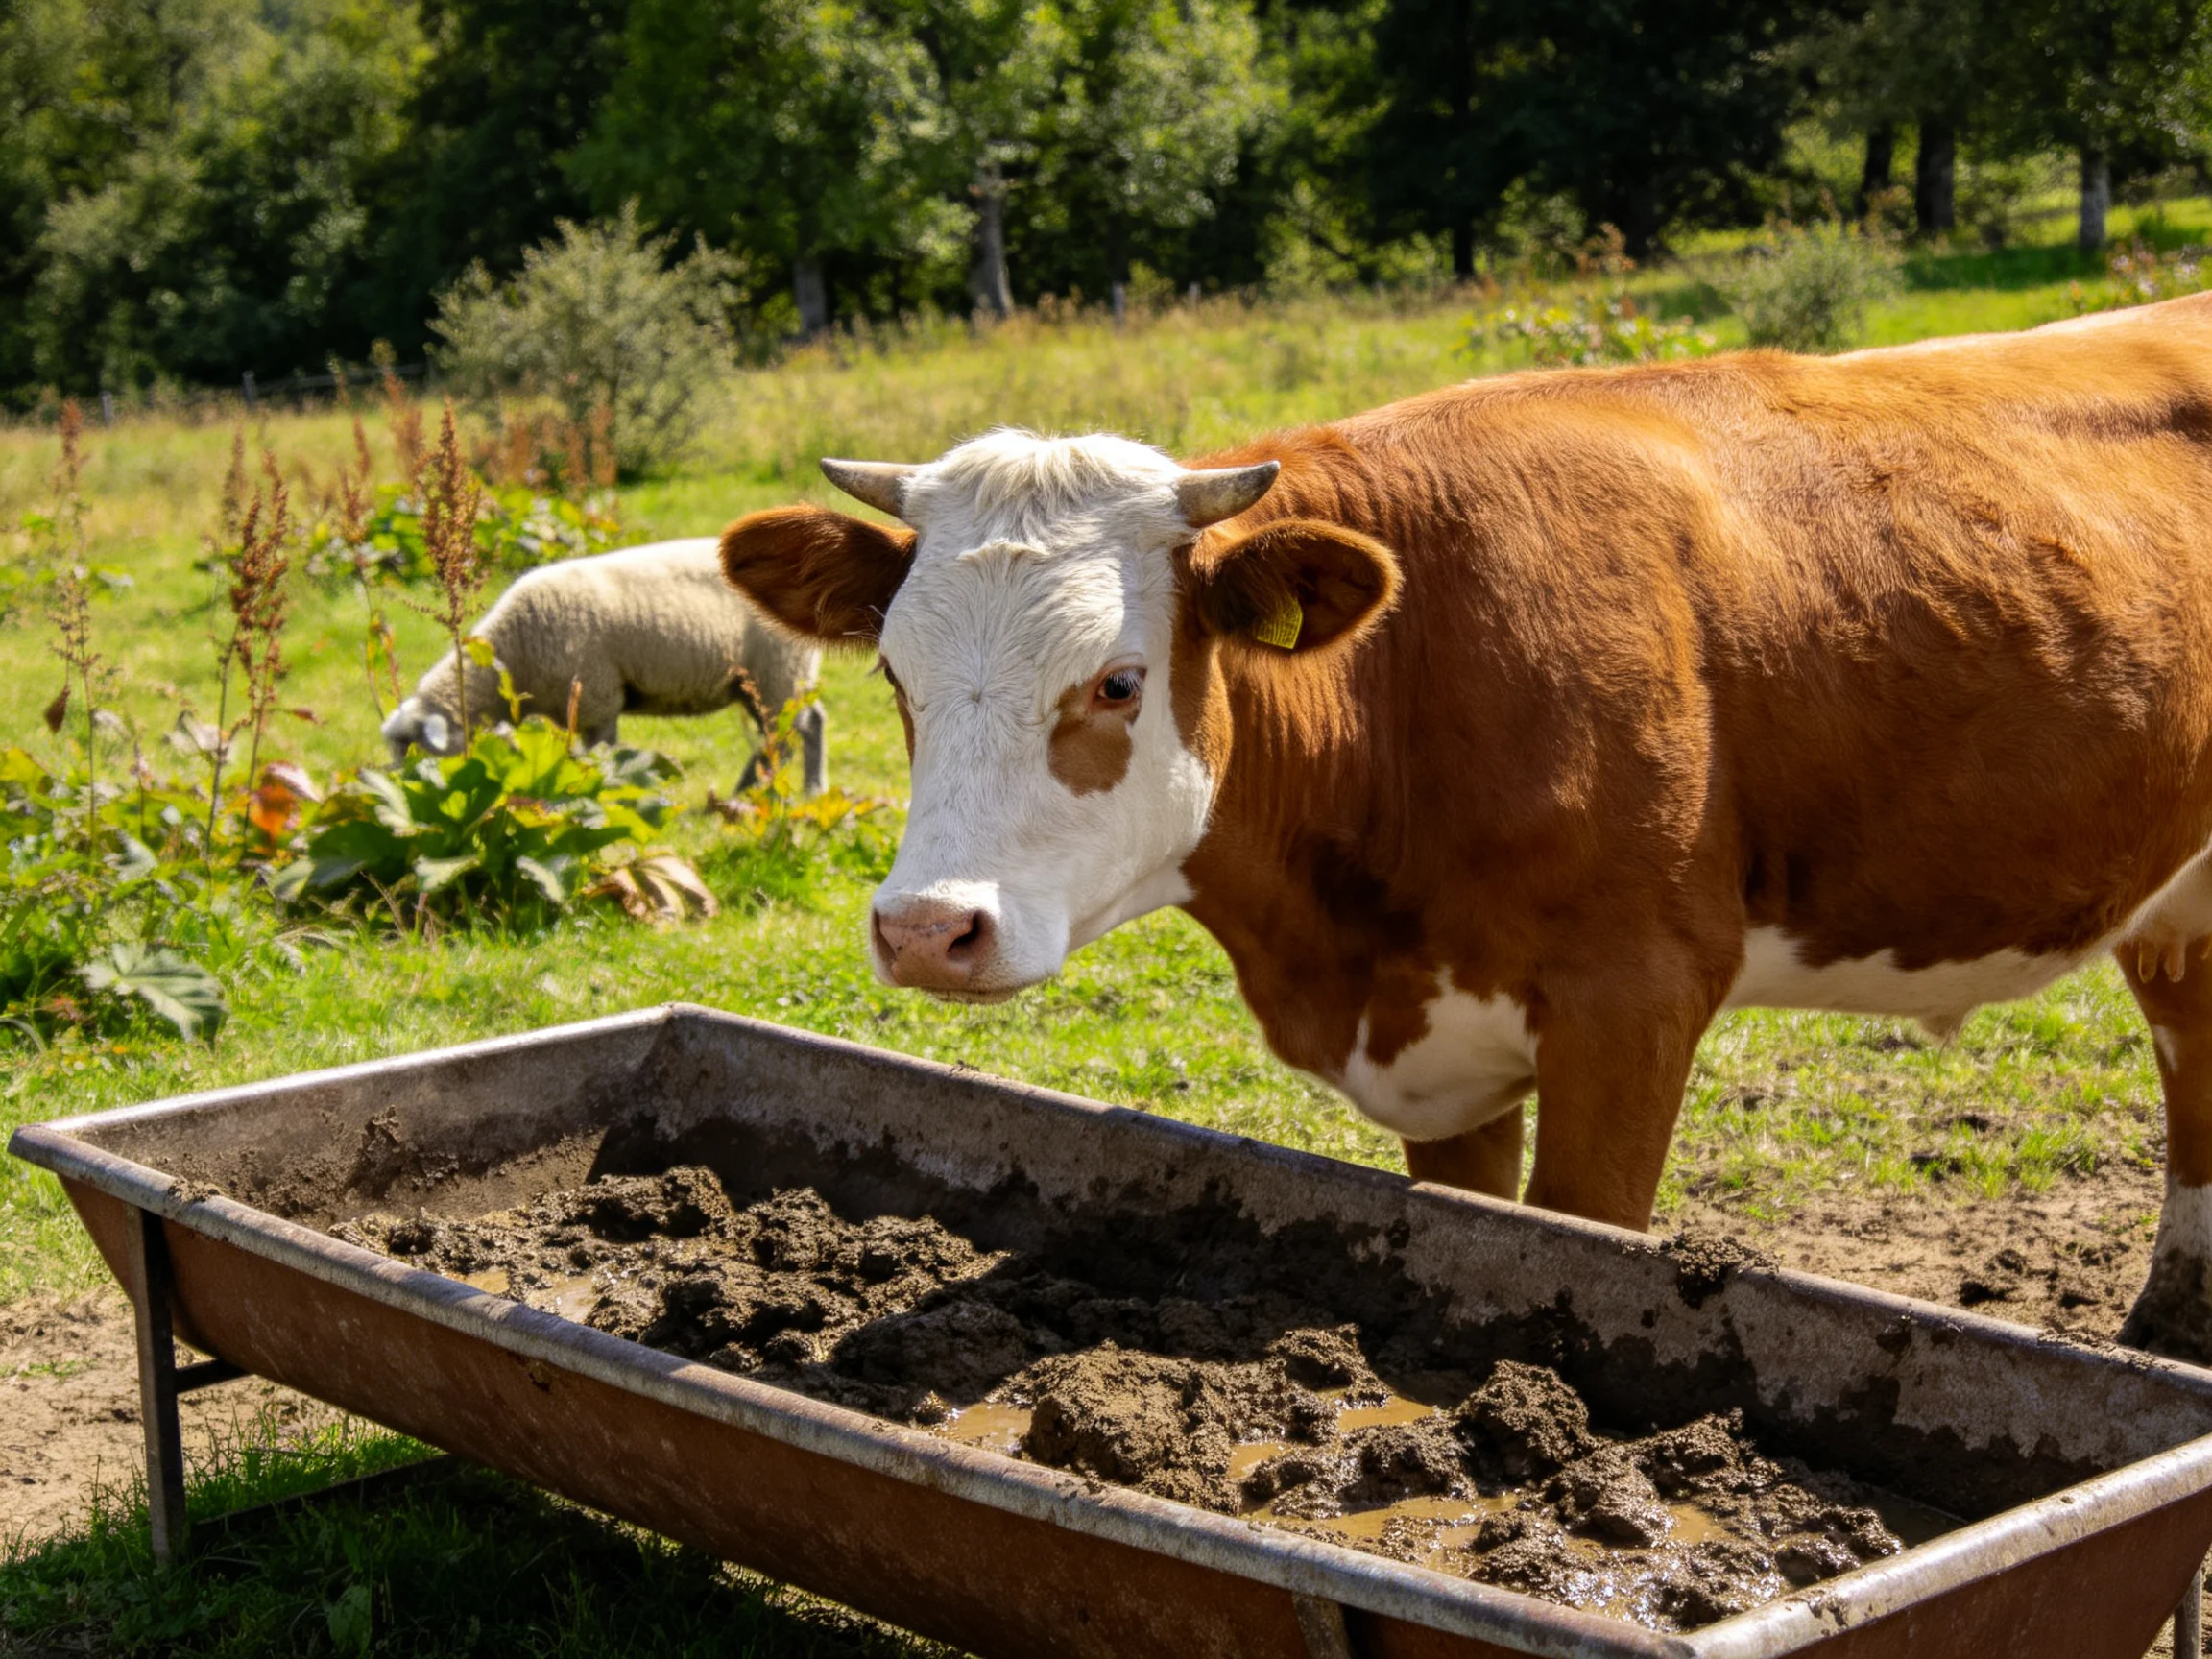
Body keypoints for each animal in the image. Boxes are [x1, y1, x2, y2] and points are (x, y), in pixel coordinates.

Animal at [380, 538, 827, 792]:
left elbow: (600, 755)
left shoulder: (597, 698)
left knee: (787, 736)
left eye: (424, 757)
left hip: (778, 671)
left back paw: (770, 794)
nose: (411, 789)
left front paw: (601, 792)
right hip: (772, 678)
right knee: (805, 724)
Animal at [719, 292, 2212, 1361]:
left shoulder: (1635, 999)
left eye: (1120, 680)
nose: (928, 929)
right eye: (894, 674)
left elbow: (1582, 1237)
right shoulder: (1439, 1050)